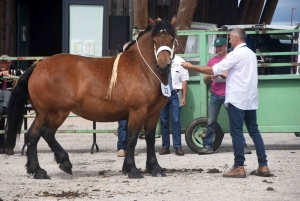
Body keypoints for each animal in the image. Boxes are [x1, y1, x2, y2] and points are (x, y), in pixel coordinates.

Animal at [4, 17, 177, 180]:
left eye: (172, 39)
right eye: (155, 40)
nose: (163, 65)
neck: (142, 69)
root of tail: (37, 66)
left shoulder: (153, 114)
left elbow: (150, 139)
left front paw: (154, 168)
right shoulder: (137, 112)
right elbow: (132, 138)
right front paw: (132, 170)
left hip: (42, 113)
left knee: (33, 135)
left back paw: (37, 171)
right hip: (58, 112)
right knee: (46, 132)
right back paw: (64, 162)